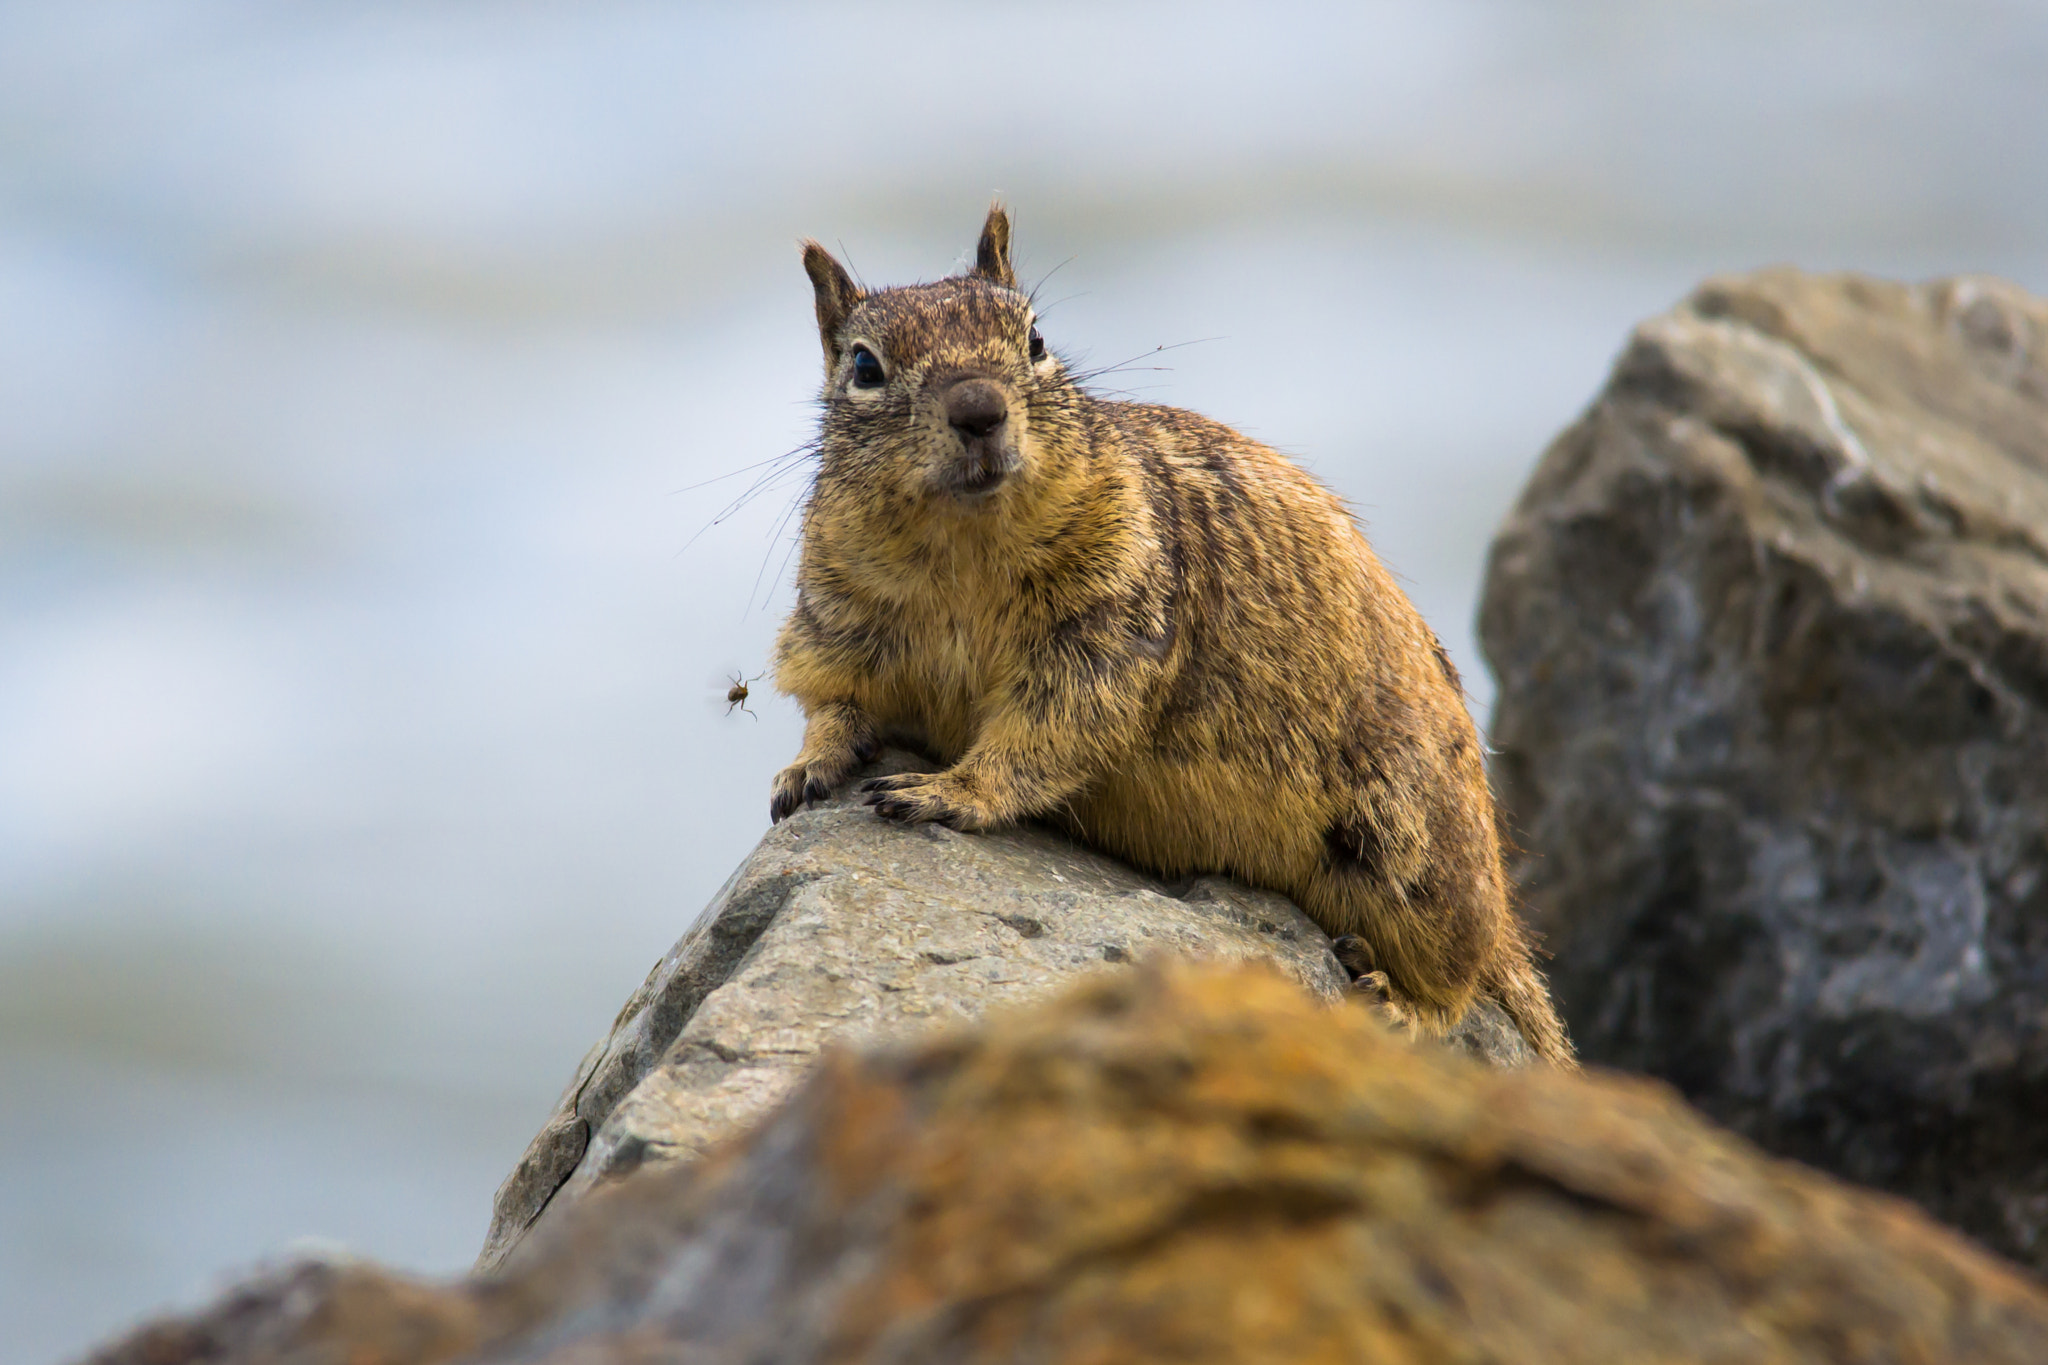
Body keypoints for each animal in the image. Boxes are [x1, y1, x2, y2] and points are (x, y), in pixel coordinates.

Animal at [768, 204, 1573, 1067]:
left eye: (1035, 338)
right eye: (864, 365)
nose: (979, 409)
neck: (963, 551)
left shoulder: (1113, 623)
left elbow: (1049, 731)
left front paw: (945, 790)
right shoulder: (836, 622)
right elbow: (833, 701)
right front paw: (808, 767)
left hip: (1413, 854)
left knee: (1463, 979)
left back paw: (1398, 1003)